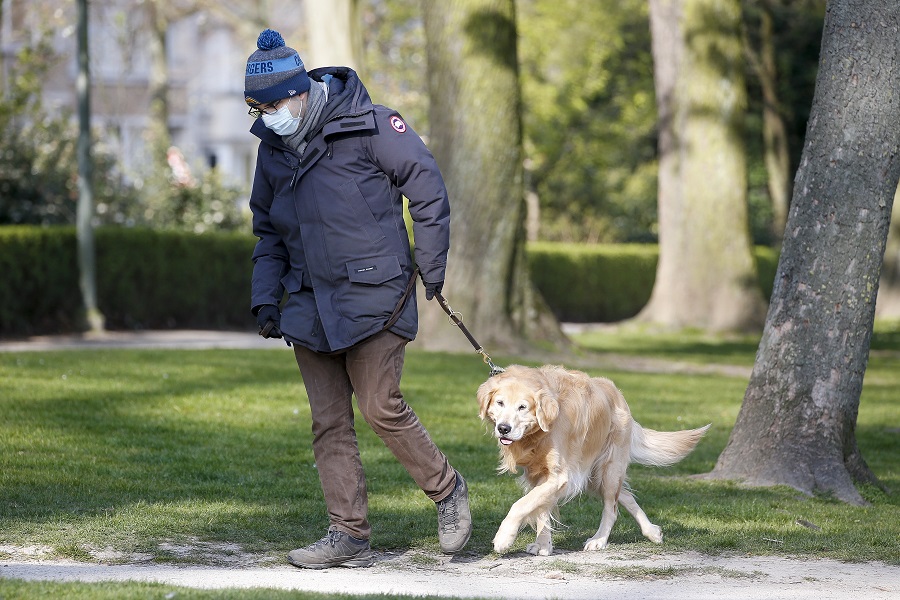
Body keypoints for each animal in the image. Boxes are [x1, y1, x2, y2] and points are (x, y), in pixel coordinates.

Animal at [478, 366, 712, 556]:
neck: (538, 434)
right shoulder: (539, 474)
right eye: (500, 403)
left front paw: (504, 538)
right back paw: (652, 531)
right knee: (625, 496)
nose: (503, 428)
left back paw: (599, 540)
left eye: (523, 407)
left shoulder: (560, 476)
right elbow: (540, 509)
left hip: (607, 469)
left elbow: (521, 505)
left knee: (612, 507)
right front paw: (543, 545)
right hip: (593, 476)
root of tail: (618, 394)